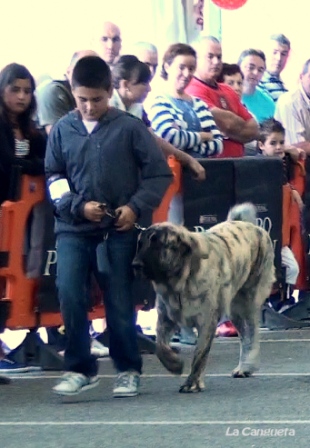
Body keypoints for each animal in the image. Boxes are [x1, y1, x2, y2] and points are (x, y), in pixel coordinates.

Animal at [134, 203, 274, 392]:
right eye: (140, 244)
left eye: (157, 245)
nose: (135, 265)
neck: (180, 281)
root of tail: (250, 226)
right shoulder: (165, 319)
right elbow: (160, 346)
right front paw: (174, 364)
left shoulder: (206, 321)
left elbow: (199, 355)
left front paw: (191, 382)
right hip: (235, 310)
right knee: (245, 335)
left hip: (246, 302)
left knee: (251, 335)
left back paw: (246, 366)